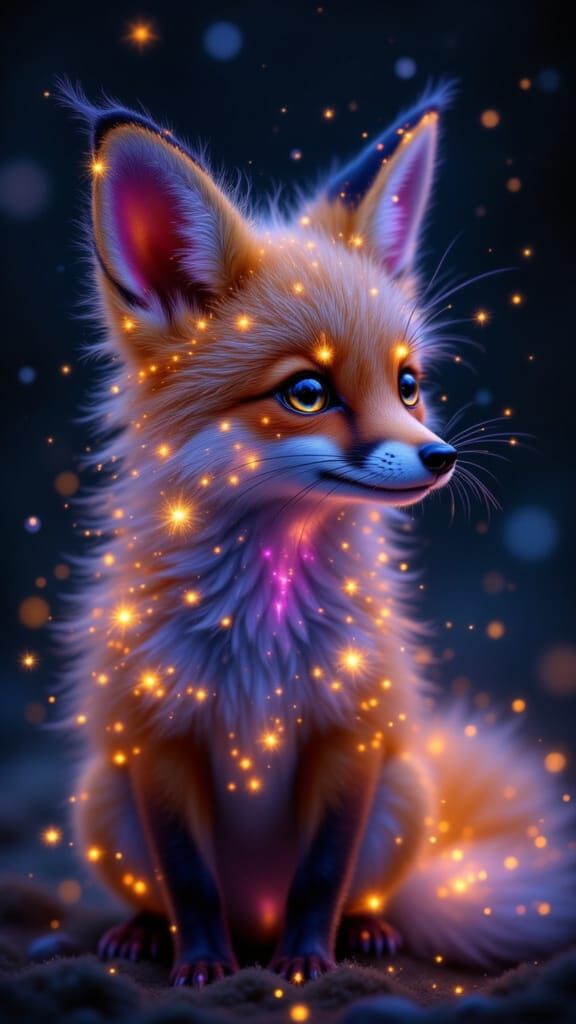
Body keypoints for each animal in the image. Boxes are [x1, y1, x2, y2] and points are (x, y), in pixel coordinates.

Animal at [58, 82, 575, 987]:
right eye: (306, 392)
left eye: (408, 383)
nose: (442, 459)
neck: (262, 635)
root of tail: (253, 918)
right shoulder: (158, 740)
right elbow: (188, 879)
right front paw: (202, 965)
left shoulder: (352, 733)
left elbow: (323, 874)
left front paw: (306, 964)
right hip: (101, 803)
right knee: (161, 892)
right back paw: (143, 934)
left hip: (405, 797)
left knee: (361, 890)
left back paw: (365, 932)